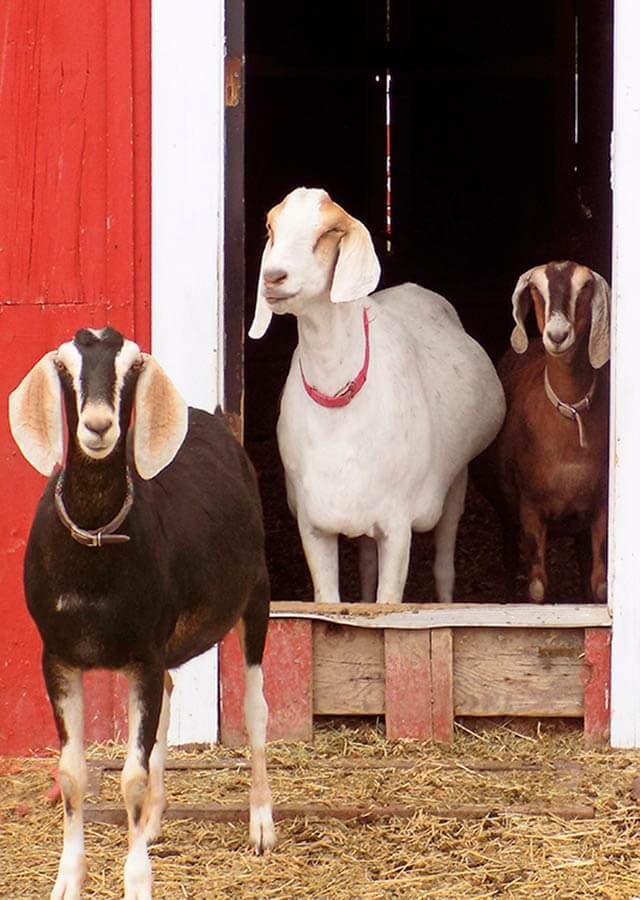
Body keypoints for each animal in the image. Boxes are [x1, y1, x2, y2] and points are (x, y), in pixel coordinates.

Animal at [9, 327, 276, 900]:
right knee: (170, 703)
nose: (98, 426)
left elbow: (129, 776)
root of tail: (213, 417)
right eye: (66, 367)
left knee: (256, 708)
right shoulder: (58, 657)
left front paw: (137, 883)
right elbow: (72, 773)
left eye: (131, 369)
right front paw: (68, 880)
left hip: (256, 596)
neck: (95, 544)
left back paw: (262, 824)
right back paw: (153, 821)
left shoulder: (143, 658)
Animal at [249, 187, 506, 604]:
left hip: (457, 481)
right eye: (271, 227)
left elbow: (389, 601)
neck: (339, 406)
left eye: (329, 231)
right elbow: (331, 600)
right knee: (367, 564)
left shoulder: (396, 525)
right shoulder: (313, 524)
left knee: (444, 566)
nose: (273, 277)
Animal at [472, 261, 610, 603]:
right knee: (509, 556)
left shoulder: (599, 506)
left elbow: (599, 584)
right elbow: (536, 587)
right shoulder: (530, 507)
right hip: (506, 509)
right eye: (536, 290)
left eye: (585, 287)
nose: (557, 335)